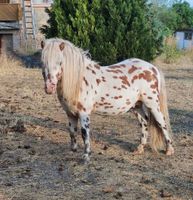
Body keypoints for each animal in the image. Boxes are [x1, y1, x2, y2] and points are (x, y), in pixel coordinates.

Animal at [41, 38, 175, 162]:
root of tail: (153, 68)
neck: (79, 81)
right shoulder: (70, 113)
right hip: (137, 106)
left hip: (153, 104)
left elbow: (84, 134)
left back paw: (169, 150)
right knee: (144, 123)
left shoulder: (84, 114)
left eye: (60, 62)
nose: (49, 87)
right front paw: (73, 150)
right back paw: (139, 148)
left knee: (162, 122)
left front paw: (86, 156)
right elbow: (72, 132)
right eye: (43, 62)